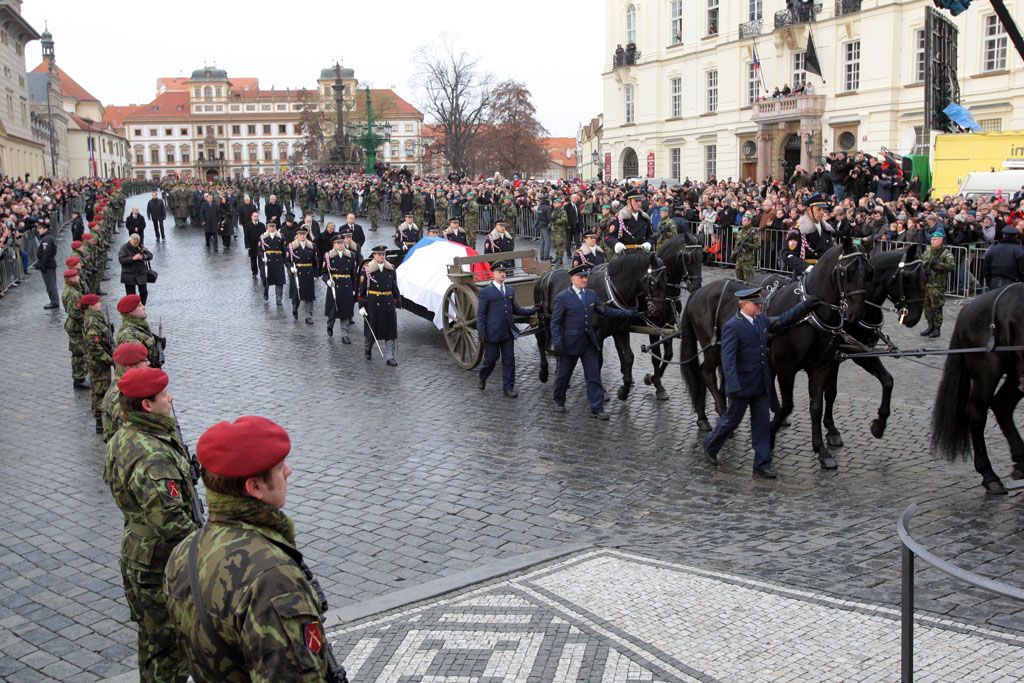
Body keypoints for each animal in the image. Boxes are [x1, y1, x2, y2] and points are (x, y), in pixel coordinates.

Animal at [643, 233, 708, 401]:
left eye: (701, 258)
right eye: (688, 259)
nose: (696, 287)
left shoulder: (669, 323)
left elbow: (669, 354)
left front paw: (654, 378)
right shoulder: (653, 325)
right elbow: (656, 356)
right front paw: (658, 386)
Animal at [679, 239, 872, 471]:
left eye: (868, 272)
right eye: (846, 272)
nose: (856, 315)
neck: (809, 316)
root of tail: (698, 293)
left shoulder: (821, 366)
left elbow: (816, 407)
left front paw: (822, 451)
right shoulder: (785, 368)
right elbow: (788, 406)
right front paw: (769, 436)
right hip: (713, 348)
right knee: (705, 373)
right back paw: (722, 414)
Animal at [823, 245, 929, 444]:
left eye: (926, 276)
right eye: (910, 278)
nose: (914, 317)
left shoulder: (862, 352)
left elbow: (887, 381)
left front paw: (880, 423)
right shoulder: (834, 357)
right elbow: (831, 392)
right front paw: (831, 429)